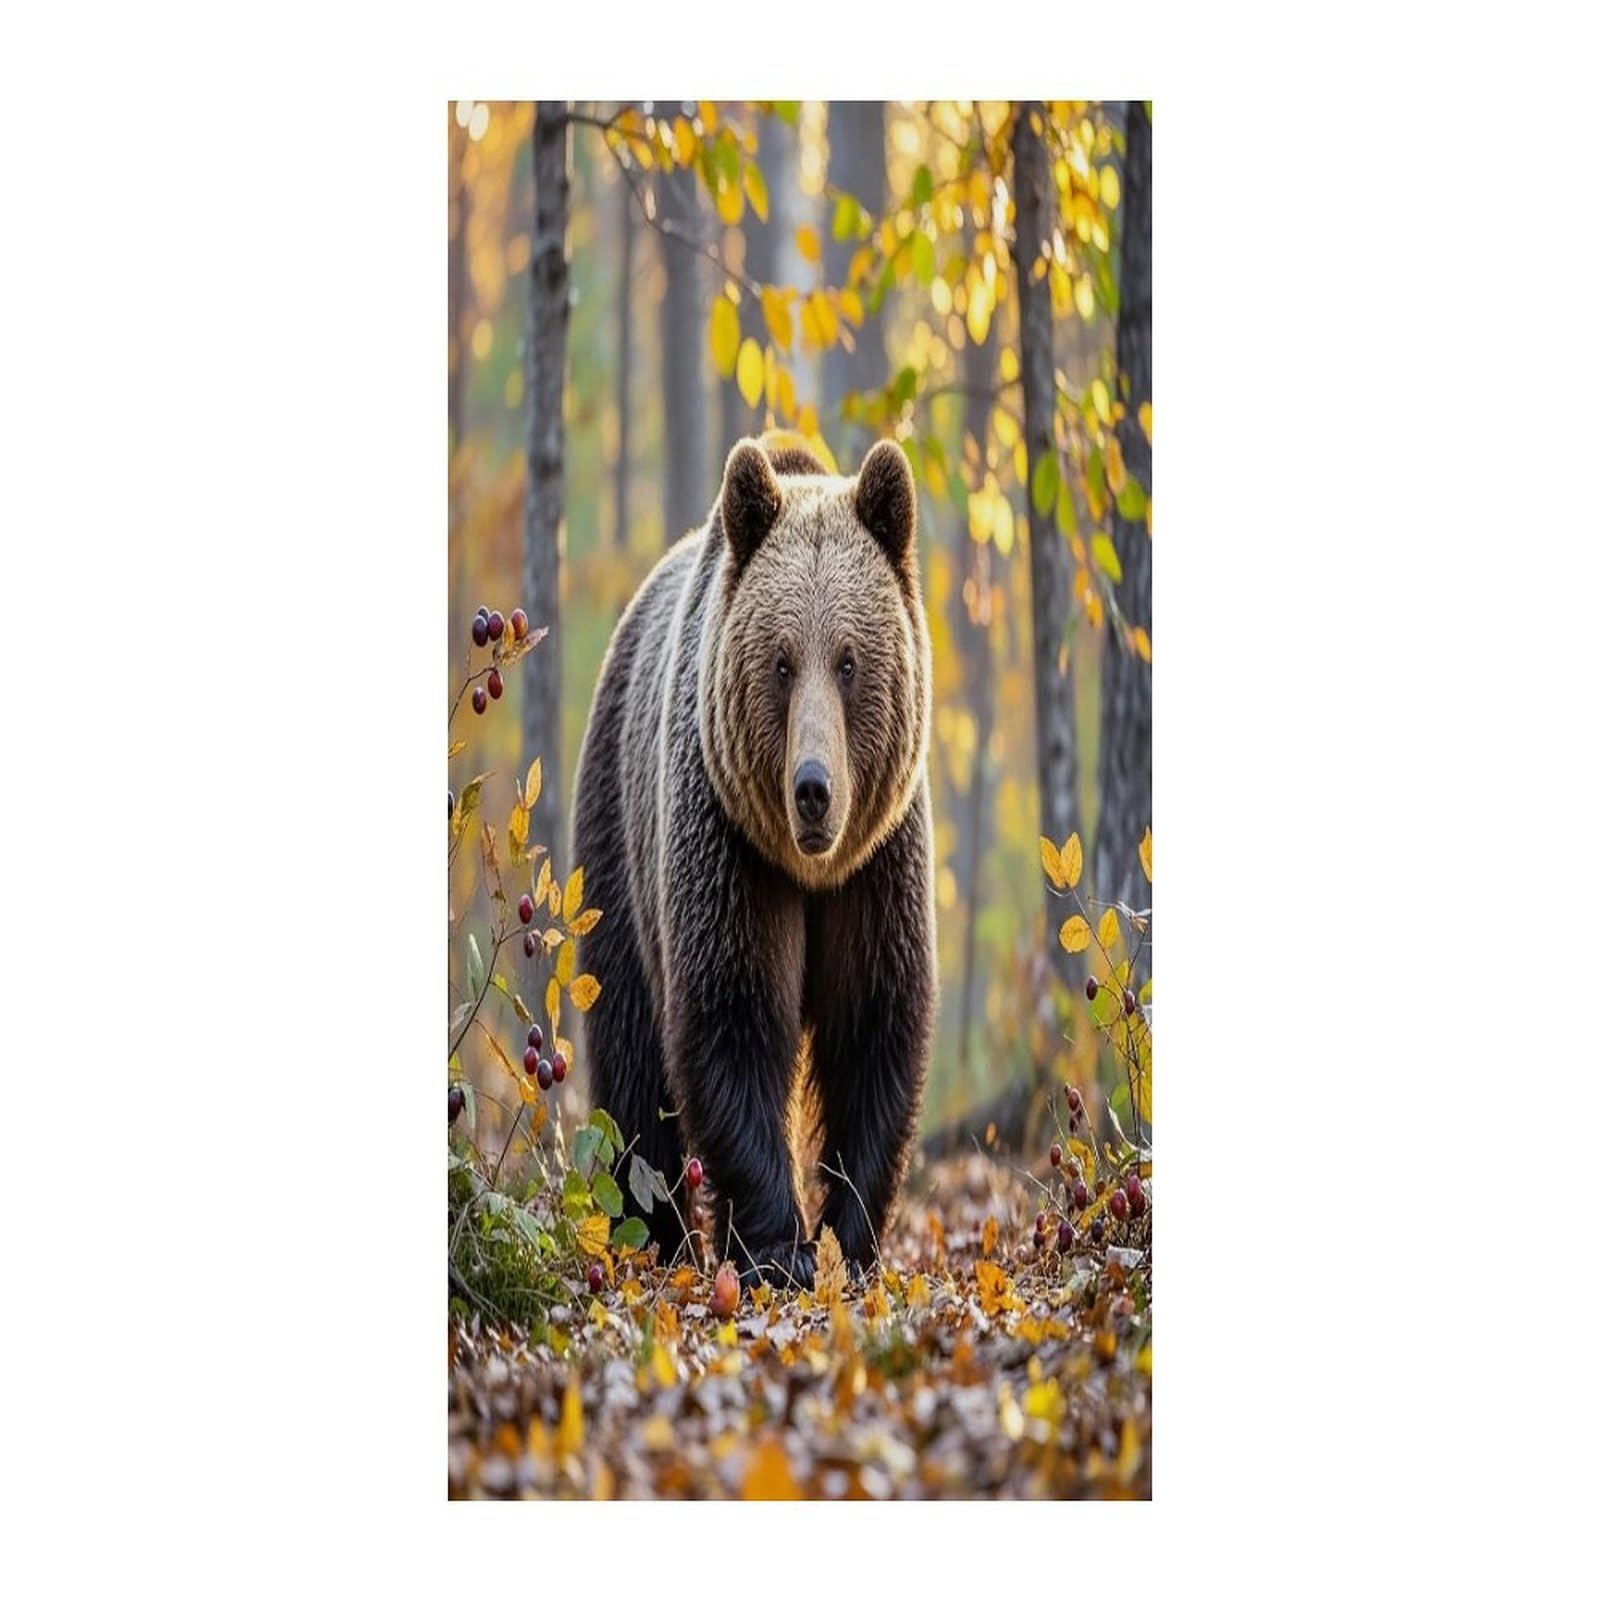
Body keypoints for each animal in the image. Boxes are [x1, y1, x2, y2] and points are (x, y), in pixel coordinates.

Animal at [572, 434, 936, 1286]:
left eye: (849, 661)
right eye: (781, 662)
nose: (813, 790)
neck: (810, 871)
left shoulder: (877, 868)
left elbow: (873, 1026)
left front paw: (847, 1239)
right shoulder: (727, 847)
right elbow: (729, 1017)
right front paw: (779, 1246)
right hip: (616, 840)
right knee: (631, 1060)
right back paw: (656, 1237)